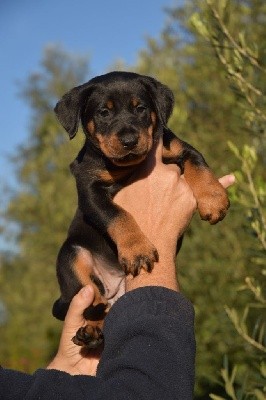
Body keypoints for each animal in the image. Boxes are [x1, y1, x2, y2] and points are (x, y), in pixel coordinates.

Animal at [52, 71, 229, 346]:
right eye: (104, 112)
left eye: (141, 109)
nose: (129, 140)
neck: (128, 166)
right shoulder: (89, 190)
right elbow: (117, 215)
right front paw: (137, 249)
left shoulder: (178, 147)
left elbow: (198, 164)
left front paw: (214, 200)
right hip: (71, 256)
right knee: (93, 301)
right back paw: (91, 330)